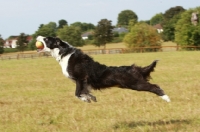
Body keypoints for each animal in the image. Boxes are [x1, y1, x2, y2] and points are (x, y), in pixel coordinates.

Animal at [36, 36, 170, 103]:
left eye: (46, 39)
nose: (38, 36)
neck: (64, 53)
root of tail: (135, 69)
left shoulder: (81, 78)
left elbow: (77, 93)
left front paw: (86, 99)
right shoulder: (84, 82)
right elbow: (84, 91)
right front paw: (91, 98)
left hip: (136, 84)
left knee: (155, 87)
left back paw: (166, 98)